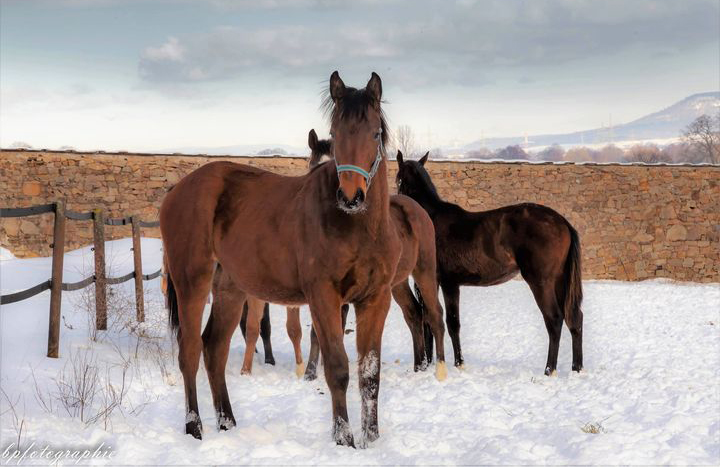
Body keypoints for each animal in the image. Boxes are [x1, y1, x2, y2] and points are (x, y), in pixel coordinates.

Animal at [161, 71, 402, 448]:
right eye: (335, 133)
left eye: (375, 133)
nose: (351, 197)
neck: (359, 227)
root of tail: (178, 190)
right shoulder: (323, 297)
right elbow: (338, 368)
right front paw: (344, 439)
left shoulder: (376, 299)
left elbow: (370, 374)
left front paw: (372, 439)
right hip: (192, 283)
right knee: (189, 351)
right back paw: (194, 427)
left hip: (230, 289)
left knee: (214, 349)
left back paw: (228, 423)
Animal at [394, 153, 584, 376]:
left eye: (398, 178)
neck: (430, 219)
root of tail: (563, 222)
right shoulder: (450, 284)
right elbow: (448, 323)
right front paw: (454, 363)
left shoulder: (443, 283)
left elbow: (444, 322)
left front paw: (437, 363)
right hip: (560, 281)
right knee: (575, 319)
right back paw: (577, 368)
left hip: (541, 282)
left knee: (554, 319)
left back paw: (549, 370)